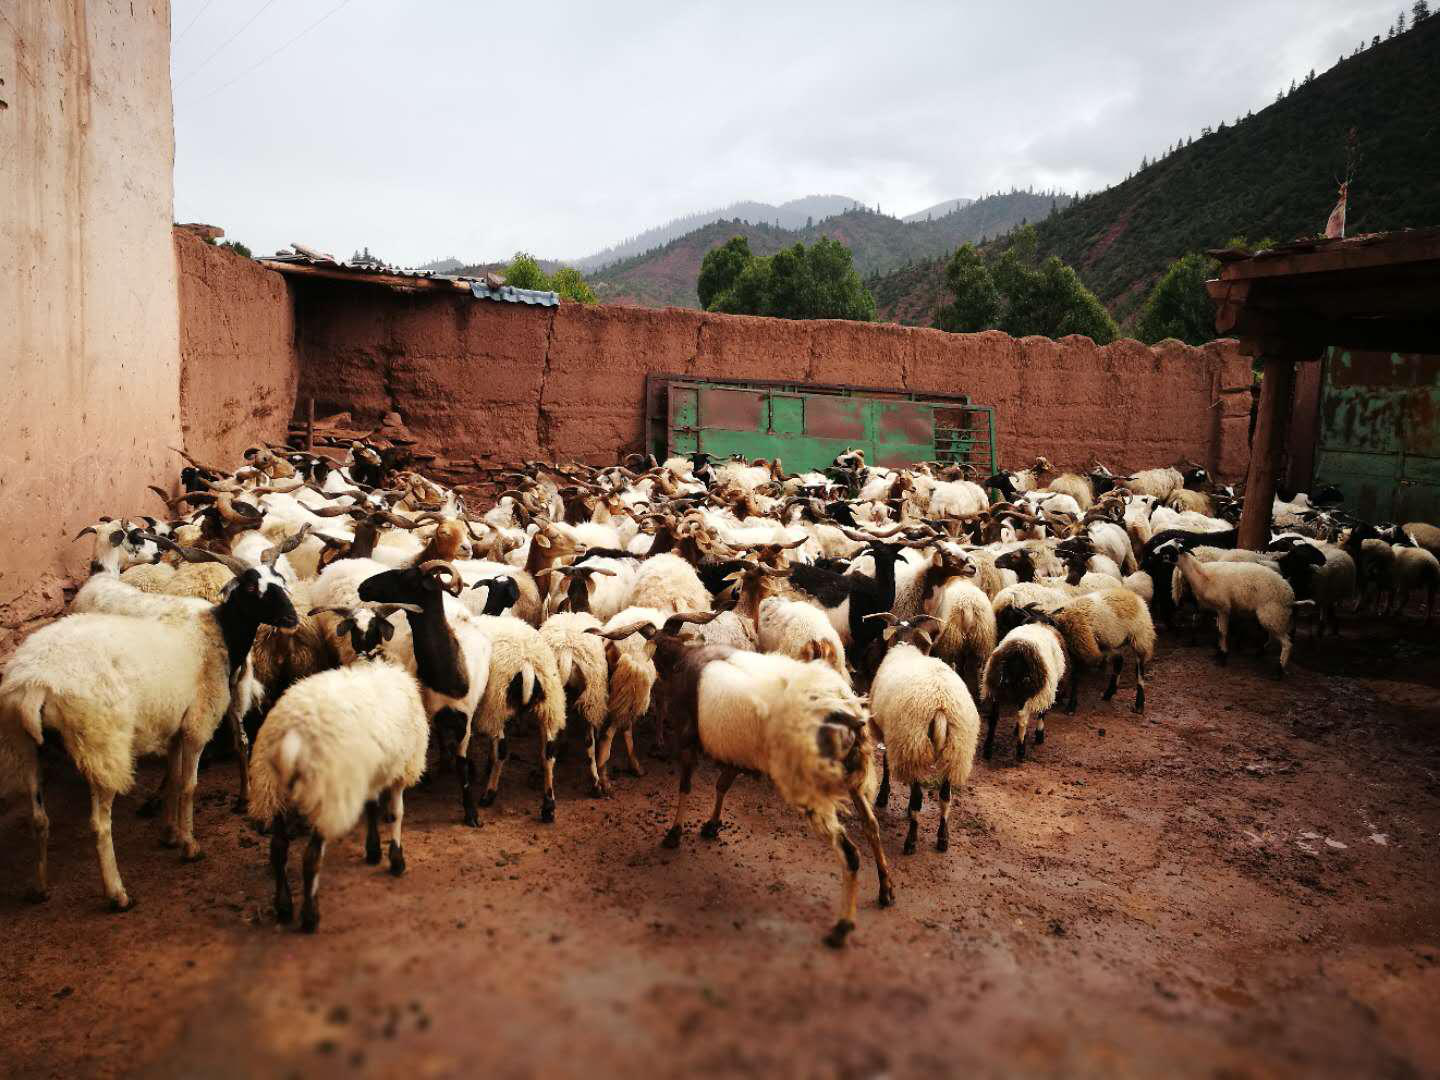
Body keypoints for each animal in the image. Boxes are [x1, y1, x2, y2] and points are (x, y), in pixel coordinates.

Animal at [0, 552, 296, 910]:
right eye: (253, 588)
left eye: (280, 579)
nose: (293, 617)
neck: (219, 632)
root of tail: (36, 685)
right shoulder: (196, 723)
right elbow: (188, 786)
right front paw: (189, 844)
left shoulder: (174, 721)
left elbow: (173, 775)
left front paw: (169, 832)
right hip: (101, 745)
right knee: (99, 824)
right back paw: (117, 893)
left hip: (22, 746)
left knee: (39, 818)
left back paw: (40, 887)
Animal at [249, 622, 426, 933]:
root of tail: (292, 736)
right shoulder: (402, 766)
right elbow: (395, 814)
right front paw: (396, 860)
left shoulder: (368, 769)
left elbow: (371, 807)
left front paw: (373, 851)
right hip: (326, 791)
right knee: (310, 859)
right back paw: (310, 916)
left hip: (271, 788)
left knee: (278, 849)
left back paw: (283, 906)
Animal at [864, 616, 979, 852]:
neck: (906, 646)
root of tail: (940, 705)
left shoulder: (891, 734)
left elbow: (886, 764)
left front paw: (883, 797)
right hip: (957, 749)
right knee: (945, 798)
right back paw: (943, 839)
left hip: (912, 743)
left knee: (918, 797)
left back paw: (911, 841)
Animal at [979, 616, 1071, 760]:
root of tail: (1019, 649)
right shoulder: (1046, 690)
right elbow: (1042, 713)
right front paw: (1039, 735)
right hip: (1026, 689)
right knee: (1023, 717)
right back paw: (1021, 751)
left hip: (996, 687)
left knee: (994, 718)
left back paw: (988, 750)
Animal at [1175, 552, 1313, 673]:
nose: (1181, 601)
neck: (1202, 574)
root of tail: (1291, 597)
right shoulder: (1219, 610)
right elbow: (1218, 631)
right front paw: (1218, 652)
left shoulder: (1223, 607)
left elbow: (1222, 632)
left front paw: (1223, 656)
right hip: (1274, 615)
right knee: (1274, 636)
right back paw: (1260, 653)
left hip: (1272, 614)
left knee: (1286, 643)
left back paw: (1279, 670)